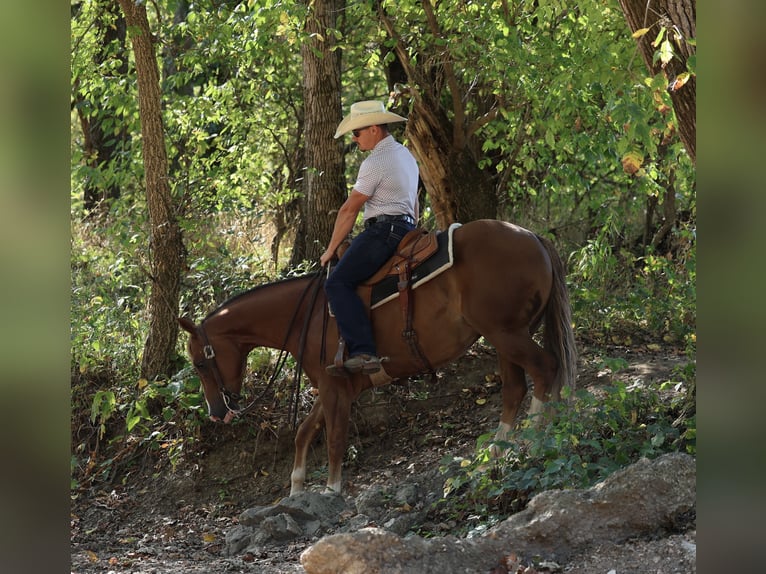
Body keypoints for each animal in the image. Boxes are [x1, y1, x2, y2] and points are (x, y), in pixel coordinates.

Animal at [179, 219, 577, 496]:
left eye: (200, 363)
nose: (217, 413)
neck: (308, 312)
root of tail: (532, 237)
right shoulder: (334, 386)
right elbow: (305, 431)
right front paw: (296, 487)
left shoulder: (333, 387)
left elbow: (335, 437)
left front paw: (331, 489)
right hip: (504, 337)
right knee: (515, 389)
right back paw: (498, 455)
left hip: (507, 334)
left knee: (545, 370)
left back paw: (536, 441)